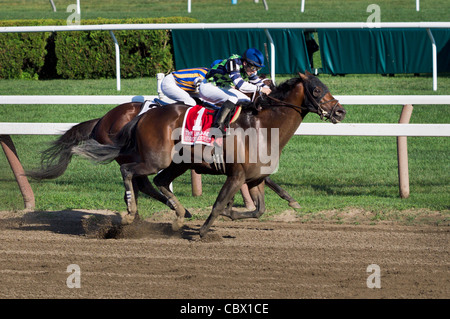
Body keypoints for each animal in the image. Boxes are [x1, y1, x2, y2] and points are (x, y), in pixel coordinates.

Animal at [72, 72, 346, 238]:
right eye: (316, 89)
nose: (340, 111)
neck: (263, 127)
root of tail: (142, 115)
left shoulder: (254, 178)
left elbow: (258, 210)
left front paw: (231, 212)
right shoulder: (236, 175)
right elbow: (217, 205)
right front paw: (203, 232)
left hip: (177, 163)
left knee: (159, 181)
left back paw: (179, 215)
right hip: (155, 159)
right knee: (129, 172)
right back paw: (131, 213)